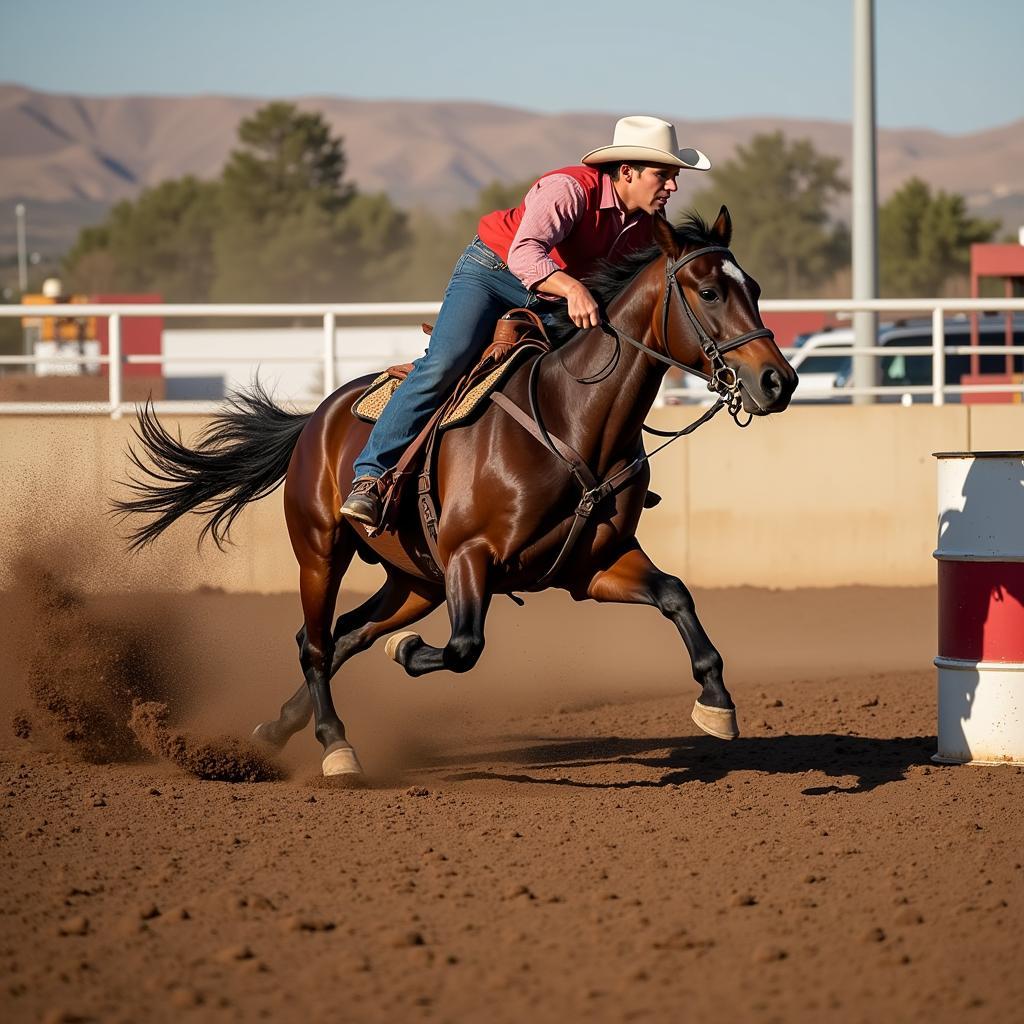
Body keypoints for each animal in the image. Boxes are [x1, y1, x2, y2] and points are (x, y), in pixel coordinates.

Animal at [116, 211, 794, 778]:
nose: (778, 381)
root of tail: (316, 417)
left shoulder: (592, 565)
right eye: (709, 292)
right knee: (314, 642)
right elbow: (464, 648)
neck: (569, 420)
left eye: (756, 287)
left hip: (415, 578)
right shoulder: (471, 558)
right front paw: (408, 653)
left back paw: (276, 728)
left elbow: (676, 595)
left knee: (347, 634)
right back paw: (336, 746)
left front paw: (717, 704)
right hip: (321, 549)